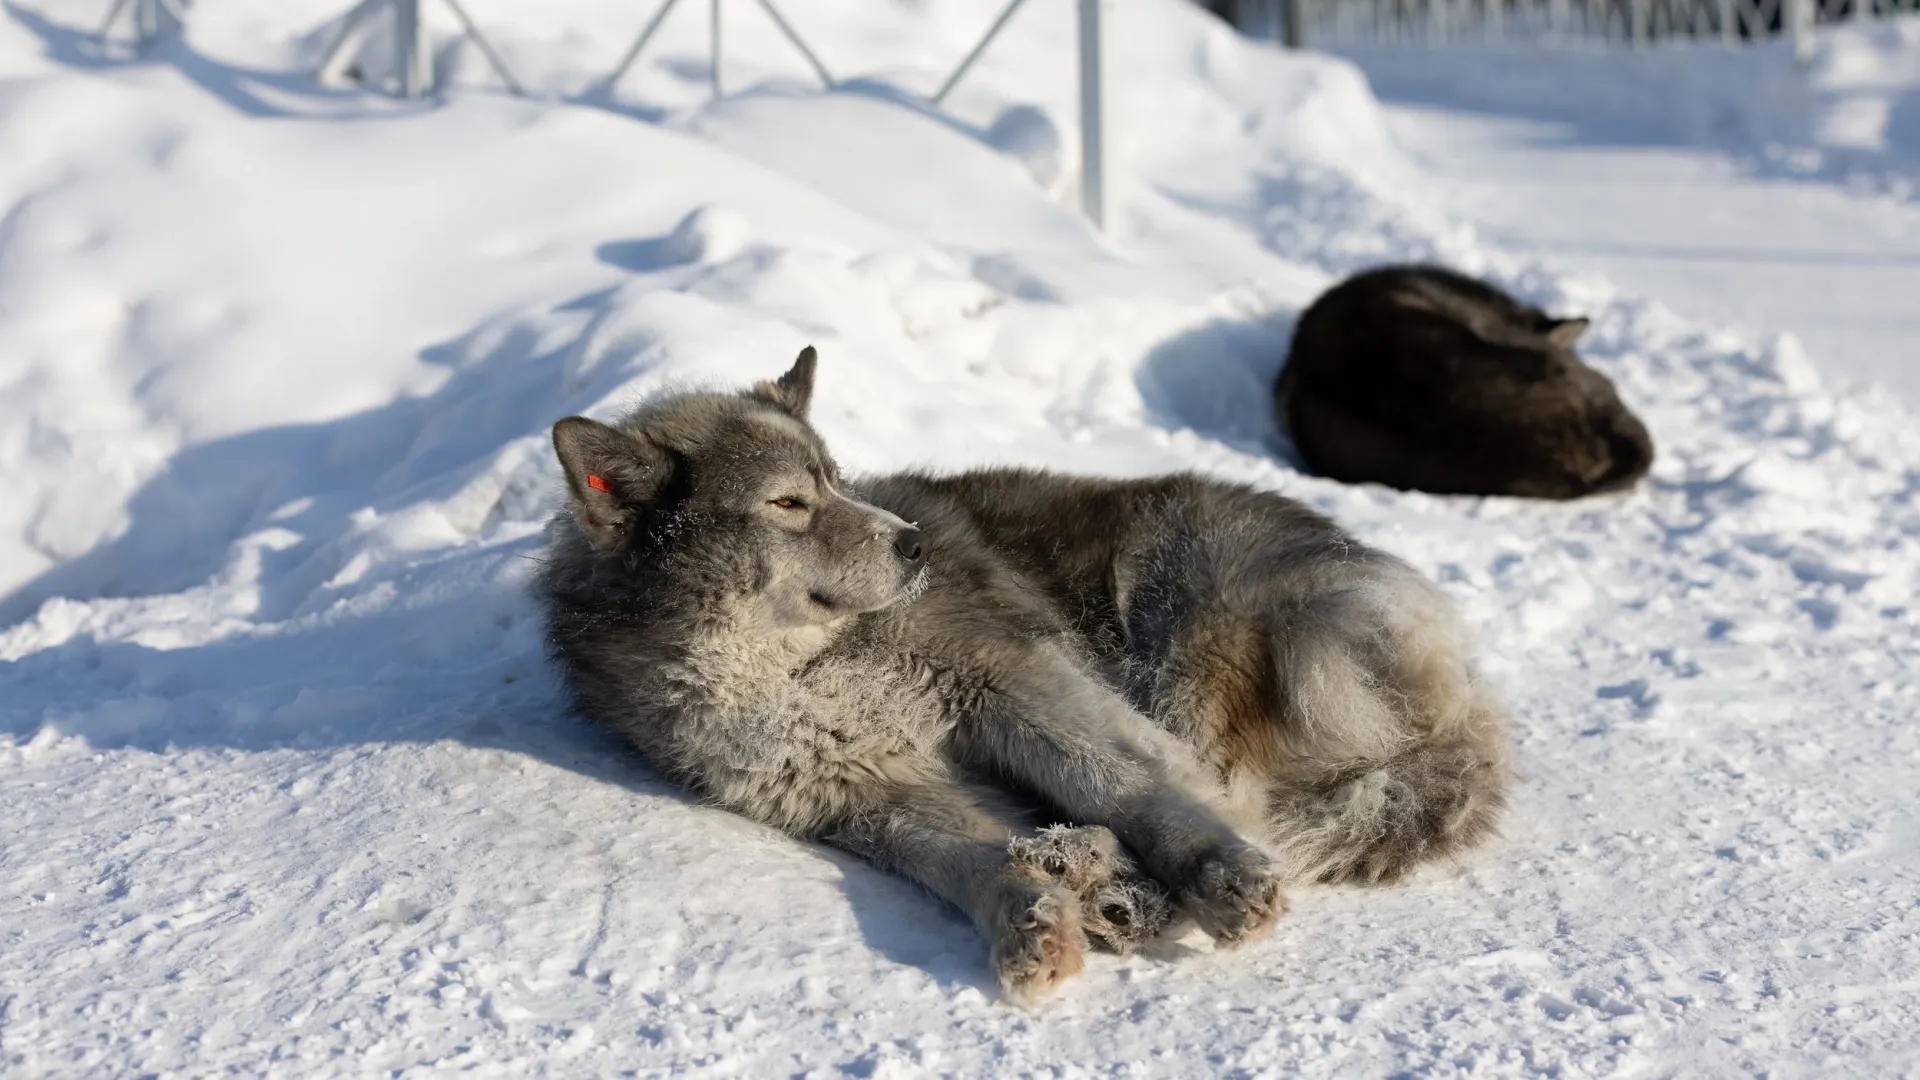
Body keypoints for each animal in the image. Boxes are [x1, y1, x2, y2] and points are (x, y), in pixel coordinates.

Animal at [537, 349, 1512, 999]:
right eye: (788, 502)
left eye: (839, 480)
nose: (916, 545)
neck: (797, 667)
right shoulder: (866, 792)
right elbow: (966, 860)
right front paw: (1030, 916)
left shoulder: (1005, 679)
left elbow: (1127, 781)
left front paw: (1212, 871)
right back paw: (1092, 876)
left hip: (1198, 633)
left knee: (1227, 781)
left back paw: (1109, 864)